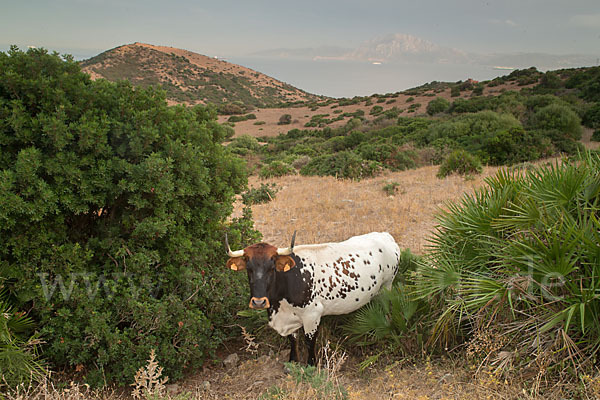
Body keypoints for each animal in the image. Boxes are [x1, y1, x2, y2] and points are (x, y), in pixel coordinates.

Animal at [224, 231, 398, 366]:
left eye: (271, 268)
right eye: (249, 269)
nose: (259, 302)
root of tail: (386, 235)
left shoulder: (312, 314)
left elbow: (309, 341)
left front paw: (311, 364)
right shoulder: (290, 318)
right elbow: (293, 339)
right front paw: (293, 361)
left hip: (387, 286)